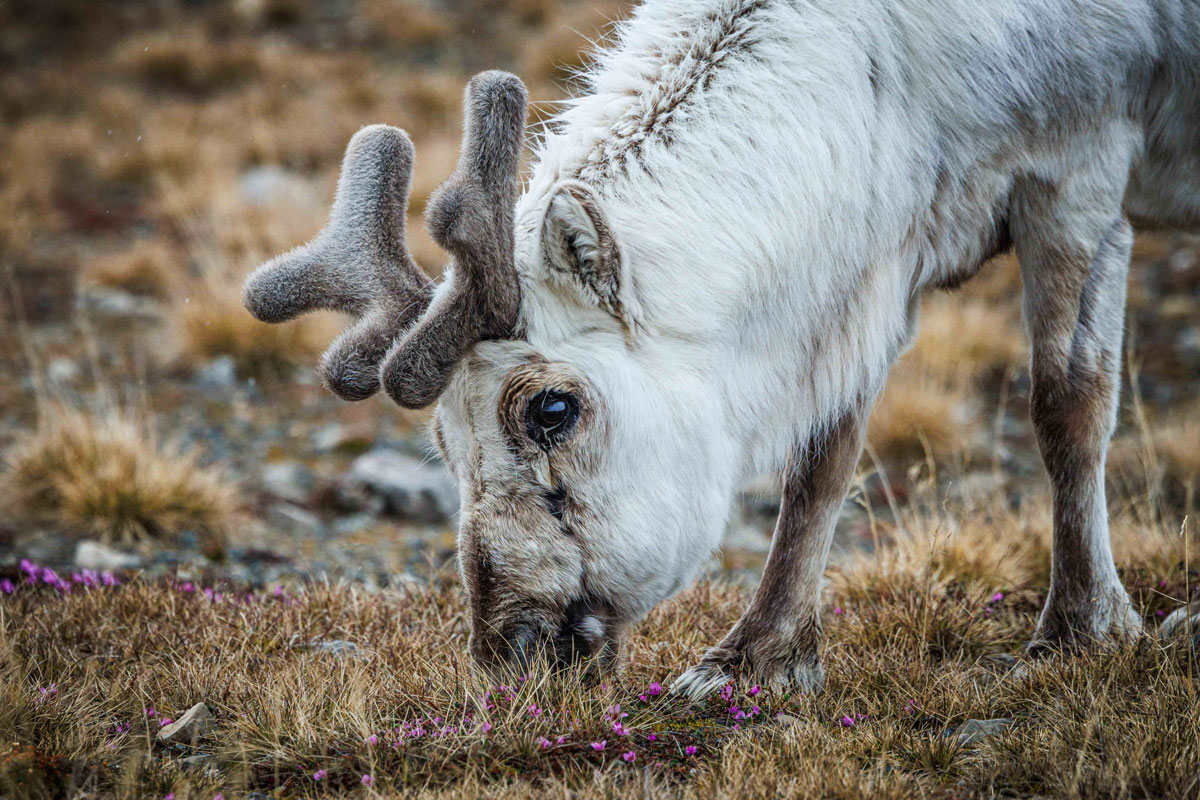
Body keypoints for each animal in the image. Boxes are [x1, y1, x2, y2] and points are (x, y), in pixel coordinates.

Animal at [243, 0, 1200, 699]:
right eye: (443, 443)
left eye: (552, 407)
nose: (508, 654)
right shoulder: (873, 266)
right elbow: (822, 460)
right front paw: (758, 660)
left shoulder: (1079, 172)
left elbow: (1069, 406)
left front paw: (1083, 630)